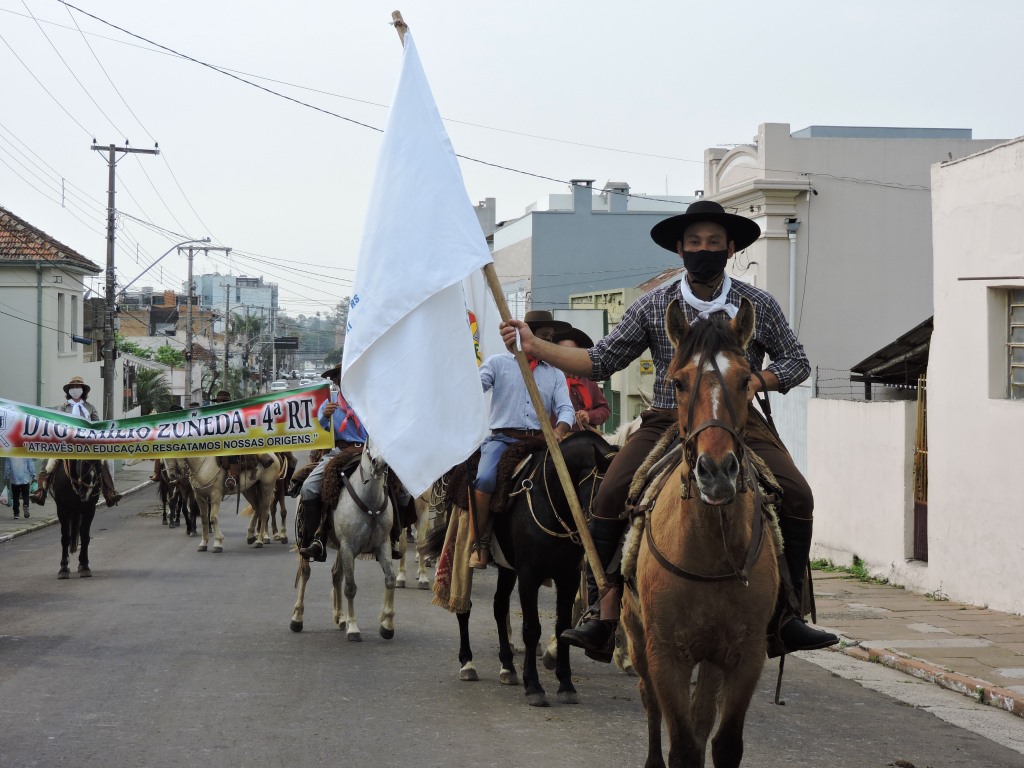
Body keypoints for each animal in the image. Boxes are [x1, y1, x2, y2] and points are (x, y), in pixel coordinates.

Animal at [618, 299, 778, 768]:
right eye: (679, 382)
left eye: (746, 380)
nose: (717, 470)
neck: (711, 549)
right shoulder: (665, 654)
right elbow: (684, 745)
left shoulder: (746, 656)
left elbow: (723, 742)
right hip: (636, 635)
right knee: (649, 700)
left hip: (711, 656)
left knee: (703, 713)